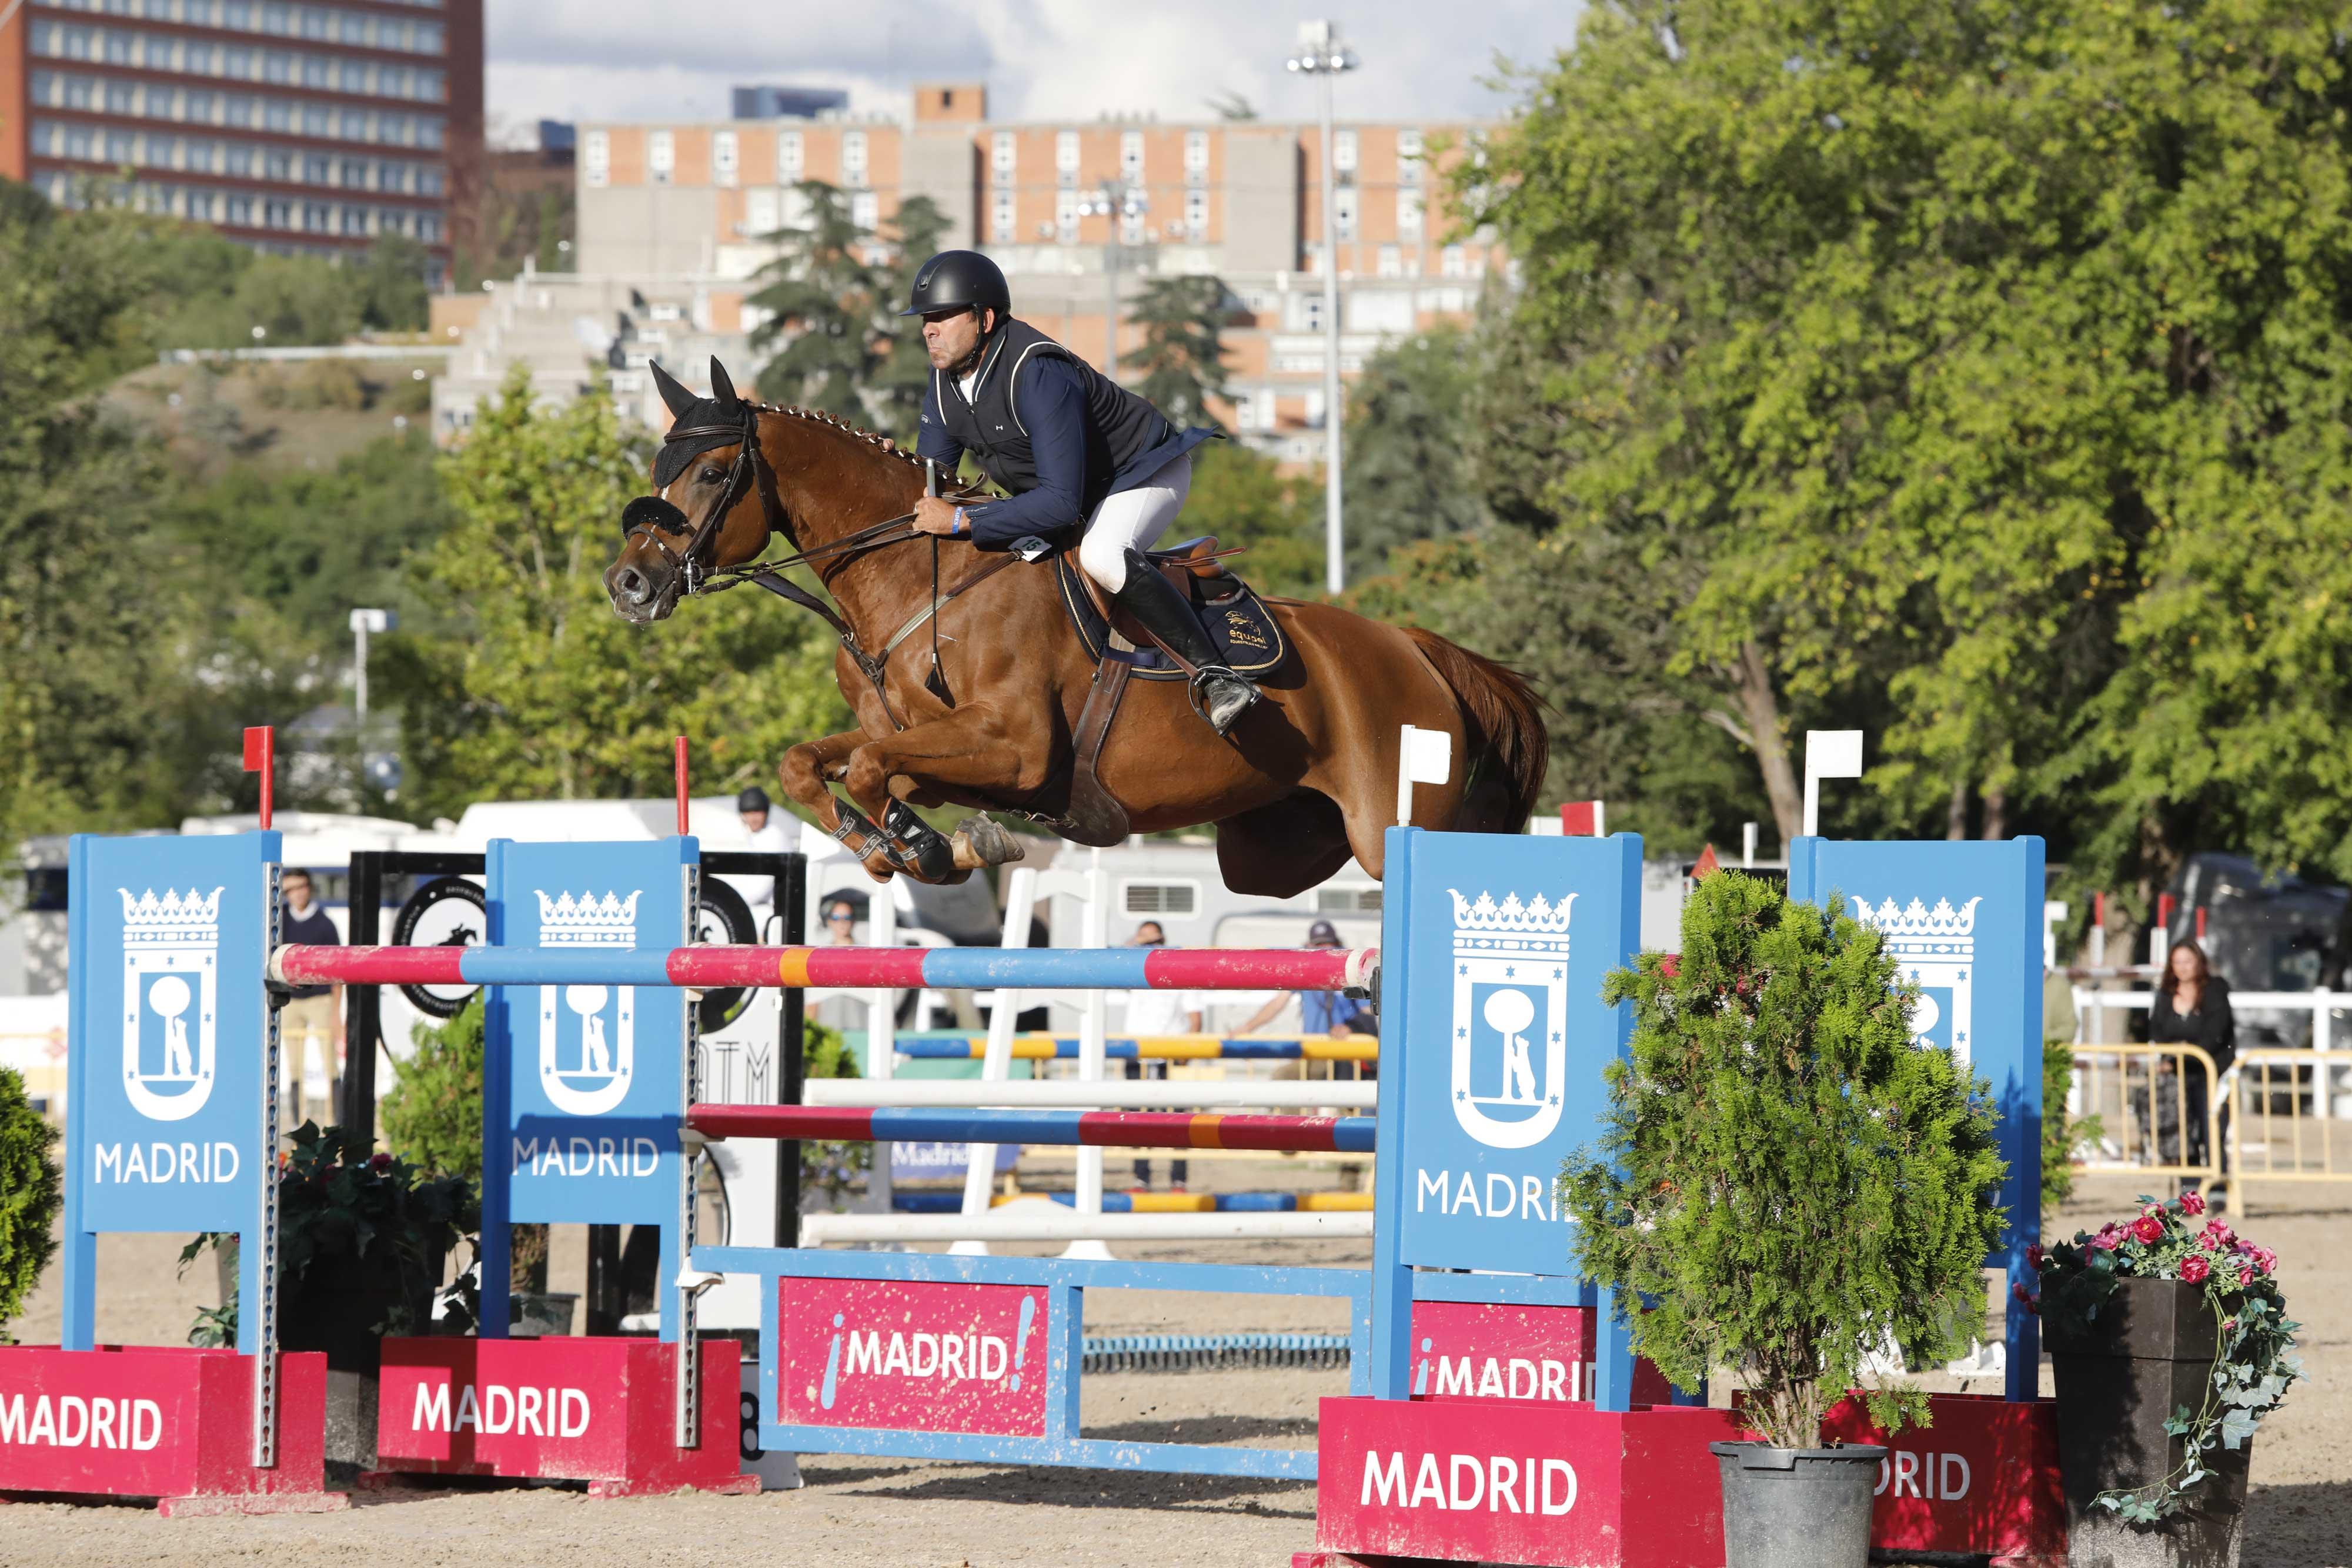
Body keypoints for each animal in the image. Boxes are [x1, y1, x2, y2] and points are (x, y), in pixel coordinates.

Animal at [607, 359, 1543, 888]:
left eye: (714, 472)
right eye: (656, 467)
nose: (628, 584)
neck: (916, 586)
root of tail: (1417, 649)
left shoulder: (1014, 747)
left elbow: (874, 769)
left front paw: (924, 847)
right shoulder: (933, 747)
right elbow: (816, 763)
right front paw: (911, 847)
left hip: (1393, 821)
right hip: (1275, 850)